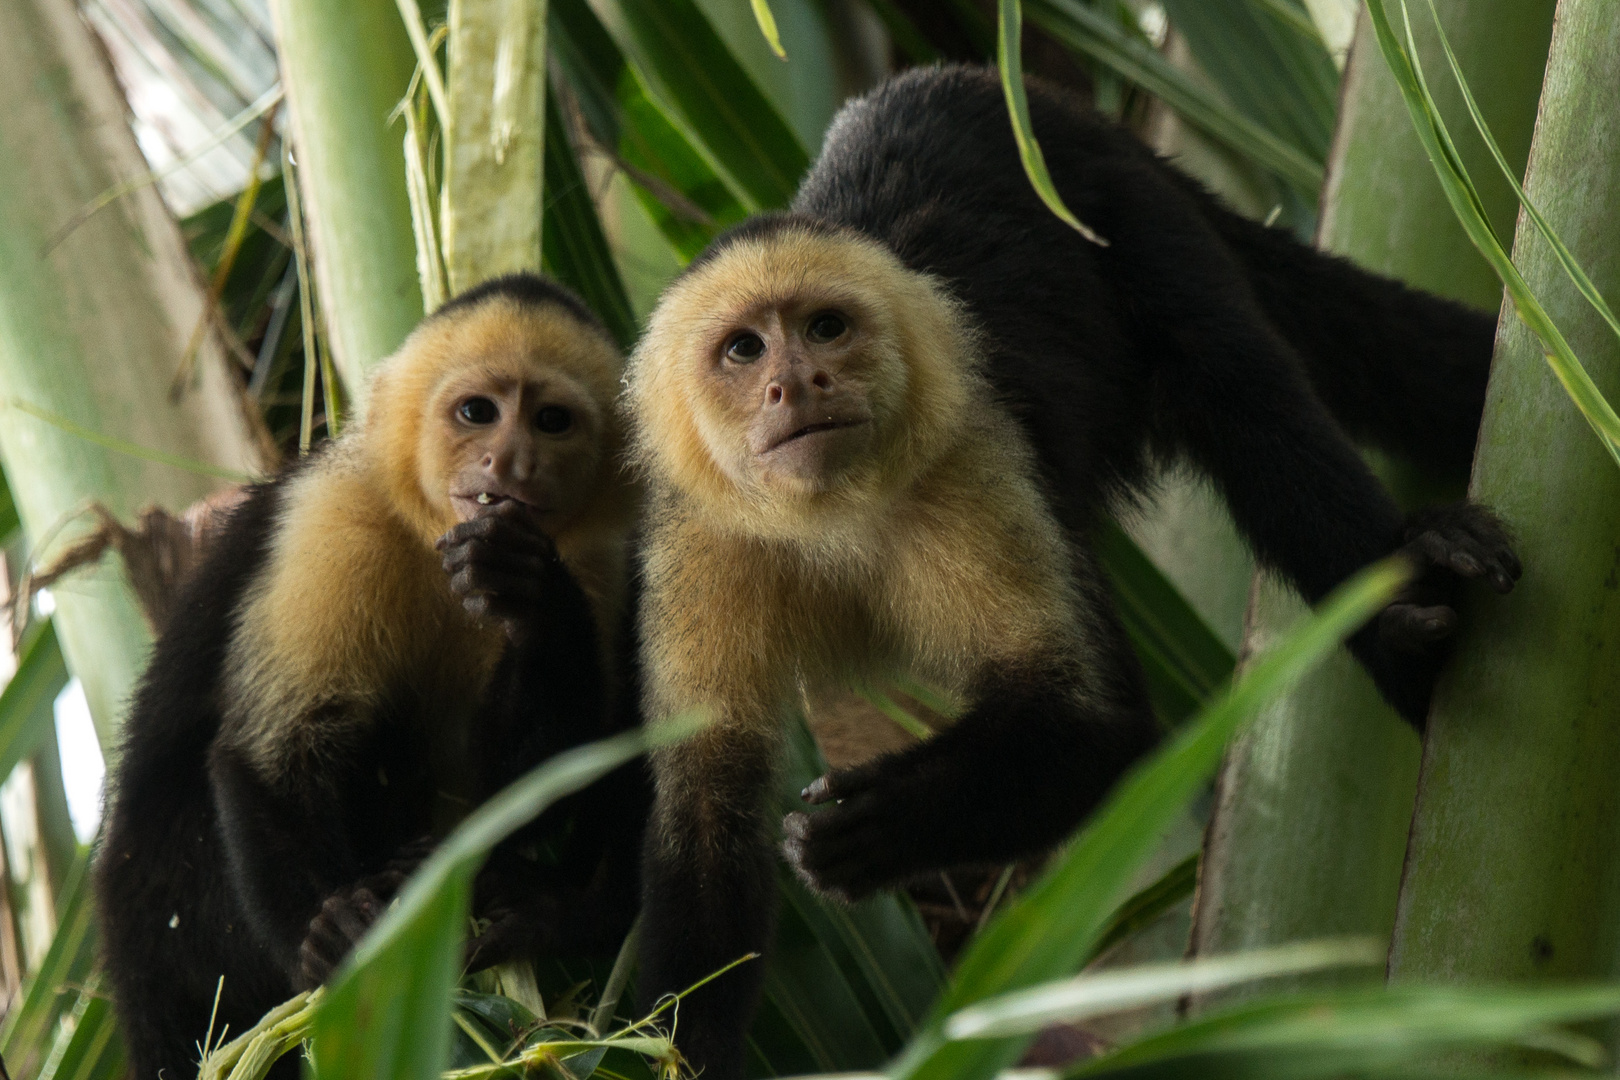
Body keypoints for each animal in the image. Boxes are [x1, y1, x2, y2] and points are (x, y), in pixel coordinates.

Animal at [94, 276, 644, 1080]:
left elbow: (558, 763)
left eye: (552, 421)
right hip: (170, 921)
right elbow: (271, 754)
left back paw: (561, 908)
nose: (510, 464)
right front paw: (325, 935)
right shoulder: (331, 518)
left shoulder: (596, 555)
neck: (435, 533)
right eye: (477, 413)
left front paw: (530, 598)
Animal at [618, 67, 1516, 1080]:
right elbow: (706, 809)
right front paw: (674, 1050)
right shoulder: (699, 536)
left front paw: (878, 825)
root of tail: (987, 84)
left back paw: (1411, 622)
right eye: (744, 350)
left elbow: (1100, 726)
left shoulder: (977, 456)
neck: (830, 514)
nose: (796, 384)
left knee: (1236, 383)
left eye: (825, 328)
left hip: (1123, 202)